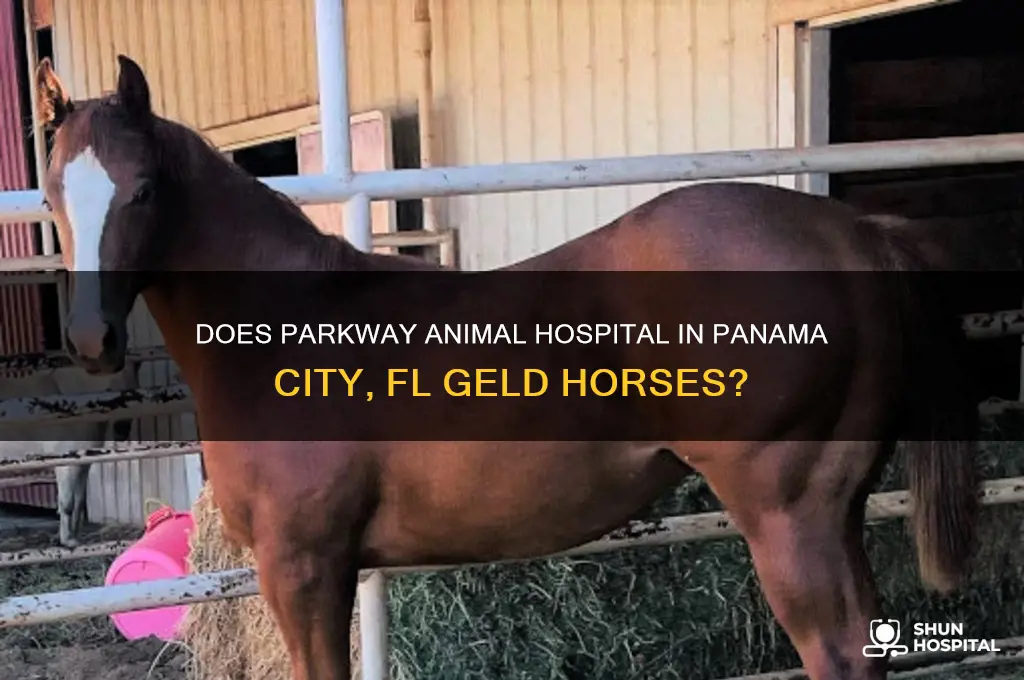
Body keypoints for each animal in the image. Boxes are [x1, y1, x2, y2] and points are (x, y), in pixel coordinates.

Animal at [0, 365, 134, 547]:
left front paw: (73, 537)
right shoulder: (65, 463)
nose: (122, 430)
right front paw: (68, 541)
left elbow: (78, 502)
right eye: (110, 392)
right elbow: (67, 503)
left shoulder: (82, 463)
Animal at [33, 54, 983, 680]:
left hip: (788, 516)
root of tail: (858, 235)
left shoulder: (301, 565)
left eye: (144, 188)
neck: (289, 327)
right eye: (49, 194)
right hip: (836, 509)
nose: (91, 340)